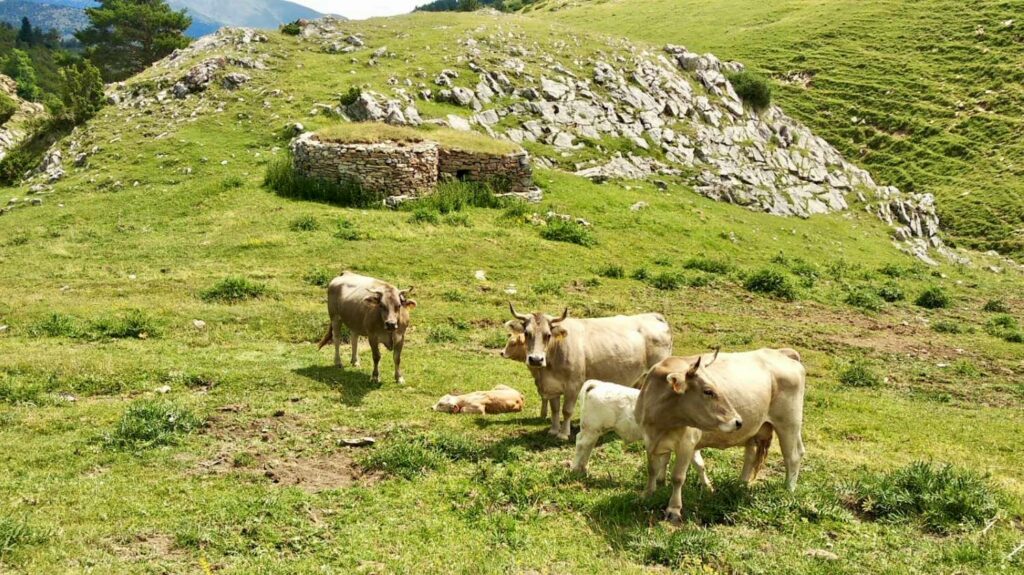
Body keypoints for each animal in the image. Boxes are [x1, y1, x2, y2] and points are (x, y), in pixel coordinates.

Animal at [503, 304, 671, 437]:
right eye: (526, 333)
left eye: (548, 335)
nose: (536, 359)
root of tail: (654, 316)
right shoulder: (552, 386)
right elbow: (555, 409)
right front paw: (553, 430)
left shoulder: (574, 384)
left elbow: (567, 410)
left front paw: (563, 434)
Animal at [569, 378, 712, 491]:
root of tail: (598, 384)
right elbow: (697, 464)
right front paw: (707, 486)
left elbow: (676, 462)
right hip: (591, 428)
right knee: (581, 443)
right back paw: (575, 469)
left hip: (594, 431)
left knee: (588, 445)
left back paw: (584, 468)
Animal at [630, 347, 806, 521]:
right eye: (708, 391)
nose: (738, 421)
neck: (659, 424)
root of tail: (780, 352)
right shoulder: (649, 440)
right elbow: (653, 469)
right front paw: (648, 494)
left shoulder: (687, 442)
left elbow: (678, 477)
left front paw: (674, 509)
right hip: (756, 428)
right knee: (751, 455)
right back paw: (740, 485)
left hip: (789, 423)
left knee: (793, 456)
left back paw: (788, 490)